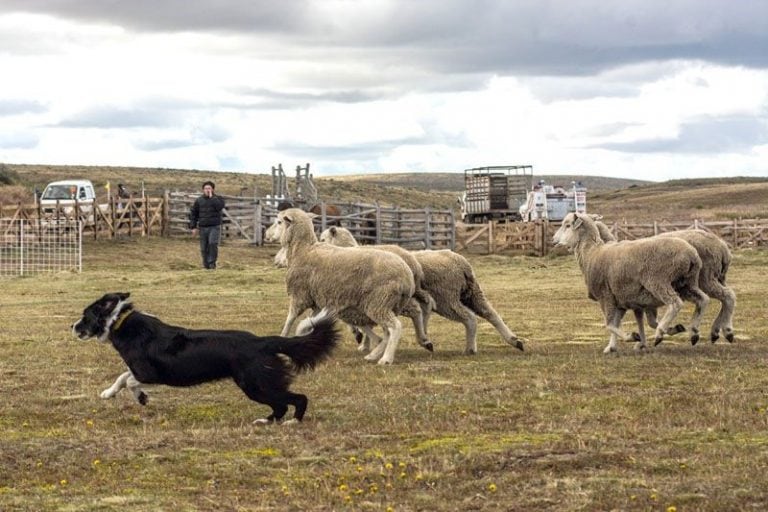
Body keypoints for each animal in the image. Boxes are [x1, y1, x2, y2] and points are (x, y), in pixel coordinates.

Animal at [73, 292, 340, 424]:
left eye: (85, 316)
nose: (72, 327)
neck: (120, 322)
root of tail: (262, 341)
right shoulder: (139, 370)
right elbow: (122, 377)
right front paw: (111, 393)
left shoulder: (151, 373)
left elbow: (128, 379)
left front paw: (139, 396)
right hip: (258, 384)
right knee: (281, 405)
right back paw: (266, 421)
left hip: (256, 384)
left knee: (296, 399)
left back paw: (292, 422)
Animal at [268, 208, 416, 364]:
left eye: (279, 222)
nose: (267, 235)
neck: (303, 249)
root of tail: (407, 276)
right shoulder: (317, 302)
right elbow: (309, 323)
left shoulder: (299, 296)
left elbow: (289, 320)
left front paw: (283, 340)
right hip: (385, 305)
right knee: (387, 331)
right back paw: (374, 354)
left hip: (379, 302)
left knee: (395, 327)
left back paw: (386, 358)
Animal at [316, 226, 524, 354]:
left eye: (323, 238)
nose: (318, 244)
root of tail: (460, 262)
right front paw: (366, 343)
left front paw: (362, 340)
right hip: (472, 293)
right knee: (491, 314)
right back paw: (514, 340)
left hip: (446, 298)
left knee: (469, 318)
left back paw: (469, 348)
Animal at [552, 212, 708, 352]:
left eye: (567, 225)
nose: (553, 240)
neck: (591, 253)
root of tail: (691, 254)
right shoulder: (620, 300)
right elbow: (617, 323)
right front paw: (612, 347)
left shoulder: (605, 296)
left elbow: (609, 324)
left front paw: (632, 337)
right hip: (687, 283)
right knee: (703, 300)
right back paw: (693, 332)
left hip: (658, 281)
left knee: (675, 303)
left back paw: (660, 333)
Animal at [596, 220, 736, 344]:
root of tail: (723, 248)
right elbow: (650, 319)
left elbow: (650, 321)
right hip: (717, 278)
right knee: (725, 300)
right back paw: (718, 331)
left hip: (706, 278)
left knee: (727, 296)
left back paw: (722, 331)